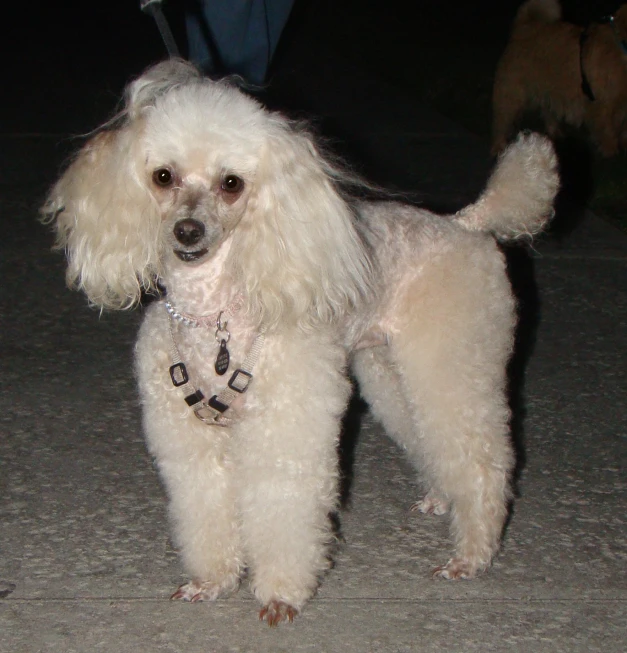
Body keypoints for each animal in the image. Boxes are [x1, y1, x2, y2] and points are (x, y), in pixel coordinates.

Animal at [43, 58, 560, 624]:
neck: (215, 310)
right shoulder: (189, 437)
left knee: (482, 457)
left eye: (231, 183)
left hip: (455, 360)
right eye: (163, 176)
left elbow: (281, 506)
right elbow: (205, 505)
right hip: (388, 368)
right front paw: (212, 581)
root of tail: (466, 223)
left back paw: (471, 555)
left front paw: (280, 596)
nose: (187, 232)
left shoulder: (284, 426)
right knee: (426, 435)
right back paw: (443, 500)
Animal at [494, 0, 627, 157]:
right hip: (511, 93)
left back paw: (554, 132)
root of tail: (524, 25)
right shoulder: (602, 106)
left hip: (548, 89)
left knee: (548, 112)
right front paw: (611, 151)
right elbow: (607, 133)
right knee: (502, 121)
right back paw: (498, 147)